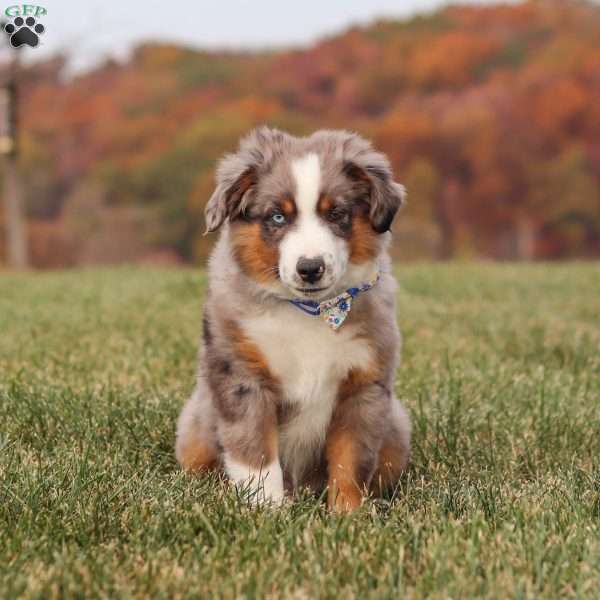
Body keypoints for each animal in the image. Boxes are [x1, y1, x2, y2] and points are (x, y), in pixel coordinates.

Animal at [173, 126, 410, 510]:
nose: (310, 268)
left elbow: (350, 462)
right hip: (196, 427)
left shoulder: (363, 387)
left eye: (336, 214)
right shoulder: (243, 379)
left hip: (397, 427)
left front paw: (349, 514)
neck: (310, 311)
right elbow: (256, 457)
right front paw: (267, 511)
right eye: (277, 217)